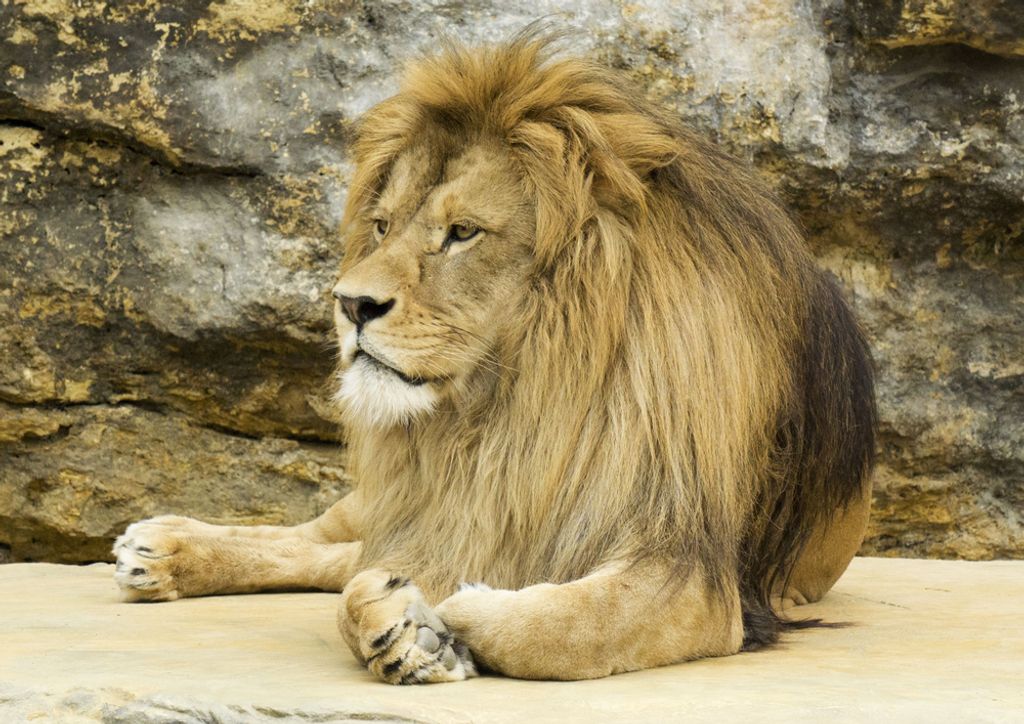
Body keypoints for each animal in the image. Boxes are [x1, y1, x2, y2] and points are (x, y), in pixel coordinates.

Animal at [113, 33, 876, 684]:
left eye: (461, 233)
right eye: (382, 226)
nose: (350, 304)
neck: (511, 407)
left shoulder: (692, 575)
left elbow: (560, 628)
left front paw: (442, 618)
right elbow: (360, 588)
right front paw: (406, 627)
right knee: (325, 540)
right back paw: (164, 546)